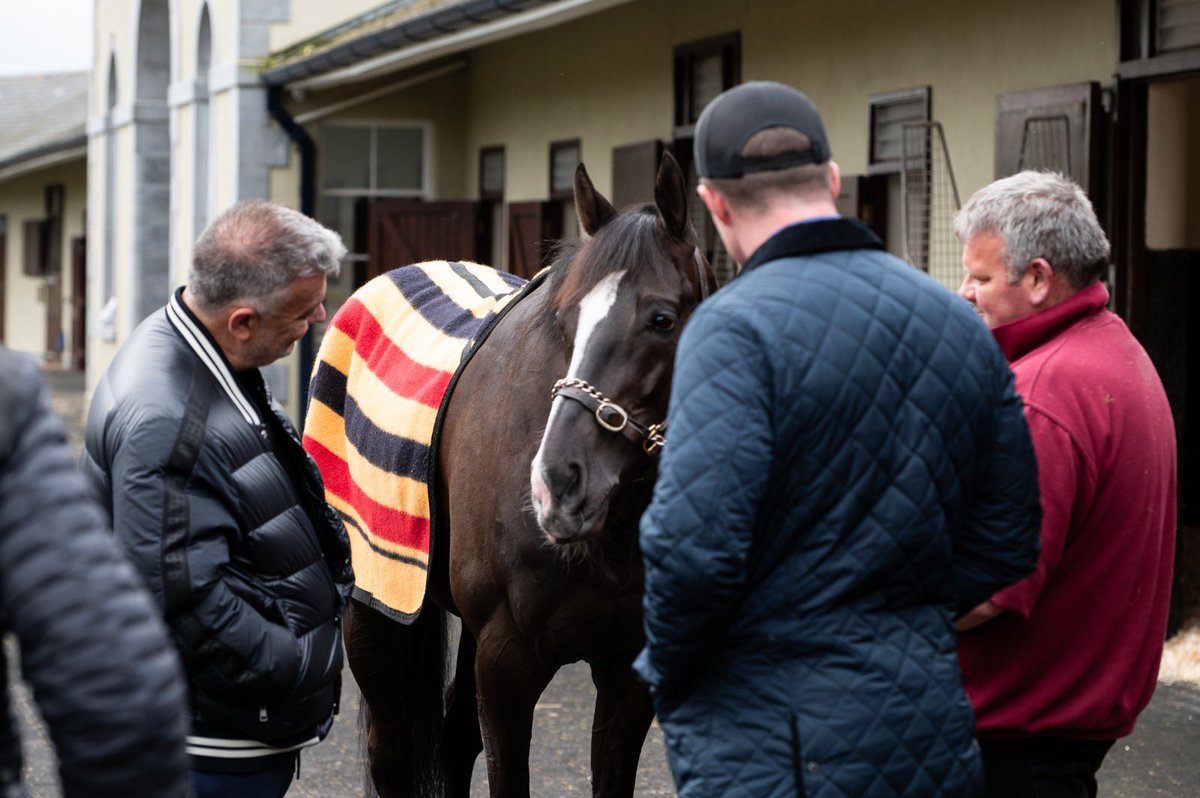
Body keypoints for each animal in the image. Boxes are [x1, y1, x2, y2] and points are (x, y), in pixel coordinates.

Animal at [340, 151, 710, 796]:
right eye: (564, 318)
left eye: (663, 319)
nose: (557, 484)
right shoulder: (506, 662)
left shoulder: (629, 672)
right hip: (374, 599)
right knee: (390, 752)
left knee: (453, 739)